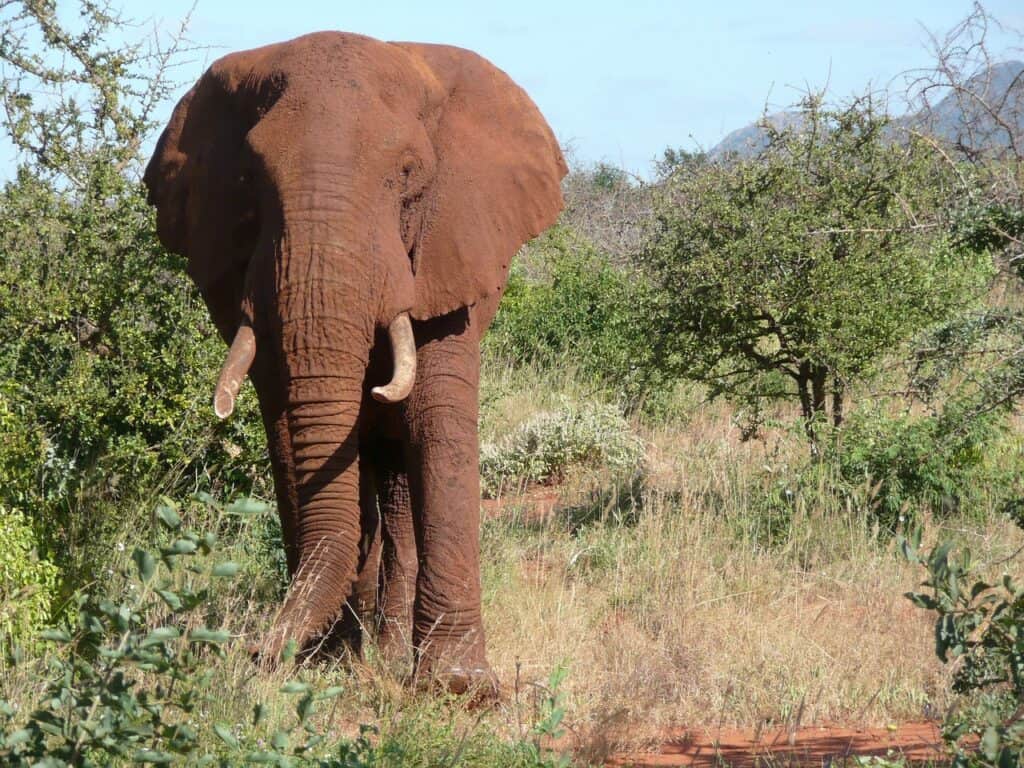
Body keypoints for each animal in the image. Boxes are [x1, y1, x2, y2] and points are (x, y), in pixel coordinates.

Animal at [143, 31, 566, 696]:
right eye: (250, 179)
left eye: (408, 174)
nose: (253, 649)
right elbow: (286, 429)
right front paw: (323, 664)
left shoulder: (451, 246)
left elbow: (436, 419)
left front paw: (459, 687)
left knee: (395, 472)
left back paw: (389, 653)